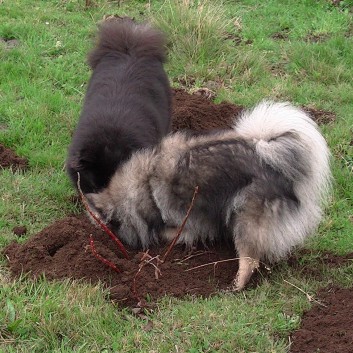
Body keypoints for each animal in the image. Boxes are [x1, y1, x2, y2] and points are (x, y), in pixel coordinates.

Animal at [86, 101, 330, 288]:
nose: (123, 248)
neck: (143, 187)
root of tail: (272, 163)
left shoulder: (184, 222)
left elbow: (172, 233)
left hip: (245, 218)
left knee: (250, 260)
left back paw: (236, 285)